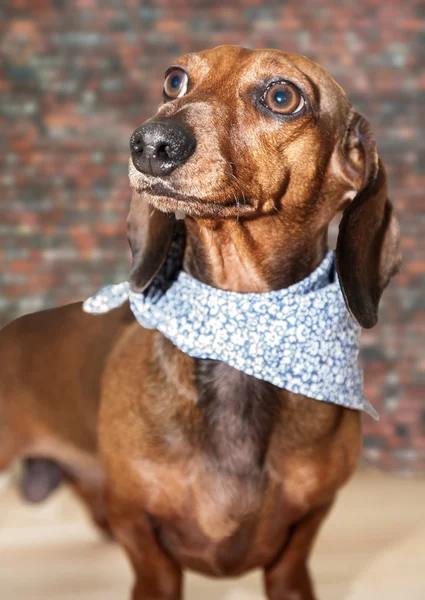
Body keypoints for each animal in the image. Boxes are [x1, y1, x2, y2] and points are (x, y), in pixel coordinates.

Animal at [0, 44, 400, 596]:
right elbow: (156, 573)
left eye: (282, 96)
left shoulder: (310, 519)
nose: (151, 143)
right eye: (174, 80)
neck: (239, 334)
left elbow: (290, 570)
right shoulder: (134, 518)